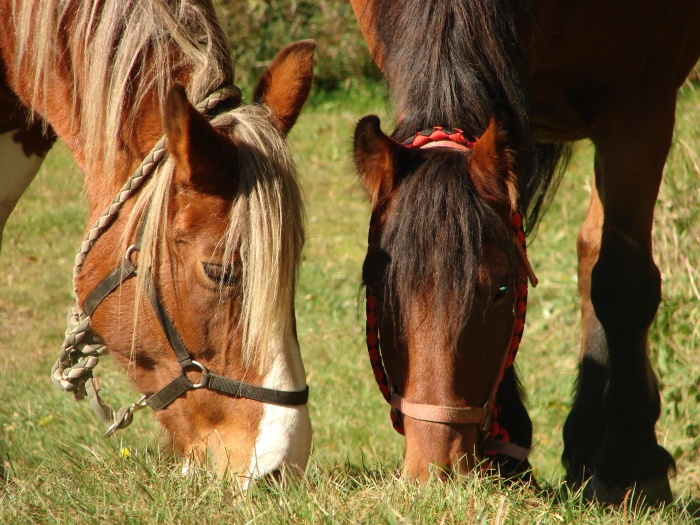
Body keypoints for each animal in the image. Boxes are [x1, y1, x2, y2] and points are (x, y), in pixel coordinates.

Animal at [350, 0, 700, 504]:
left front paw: (631, 462)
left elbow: (623, 283)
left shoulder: (642, 106)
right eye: (377, 286)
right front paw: (506, 453)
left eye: (500, 290)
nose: (434, 469)